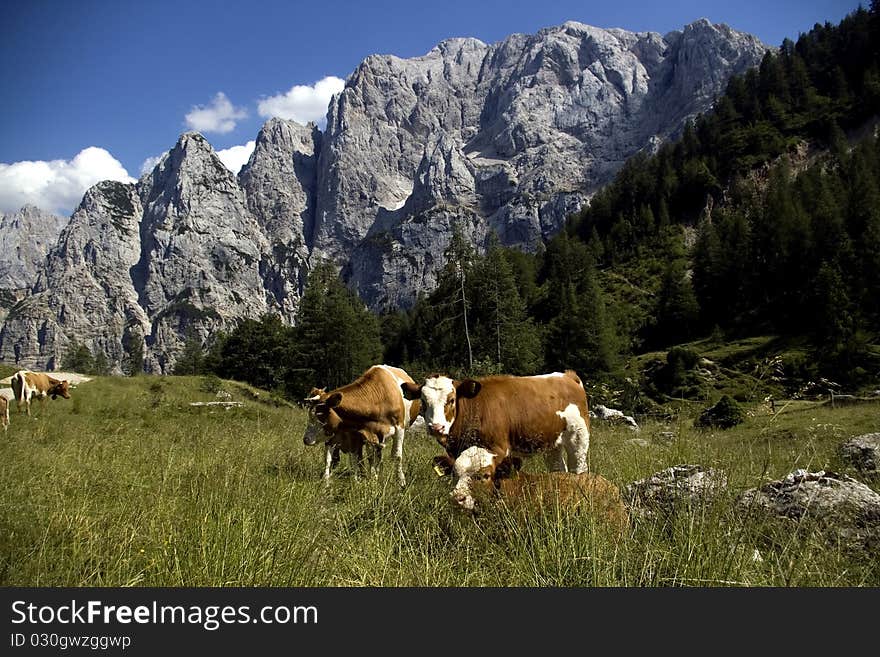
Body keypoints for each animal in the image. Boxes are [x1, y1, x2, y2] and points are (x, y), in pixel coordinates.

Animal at [400, 372, 592, 510]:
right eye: (423, 401)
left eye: (451, 400)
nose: (436, 427)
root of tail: (567, 376)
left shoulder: (498, 448)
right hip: (552, 446)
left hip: (578, 438)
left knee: (579, 468)